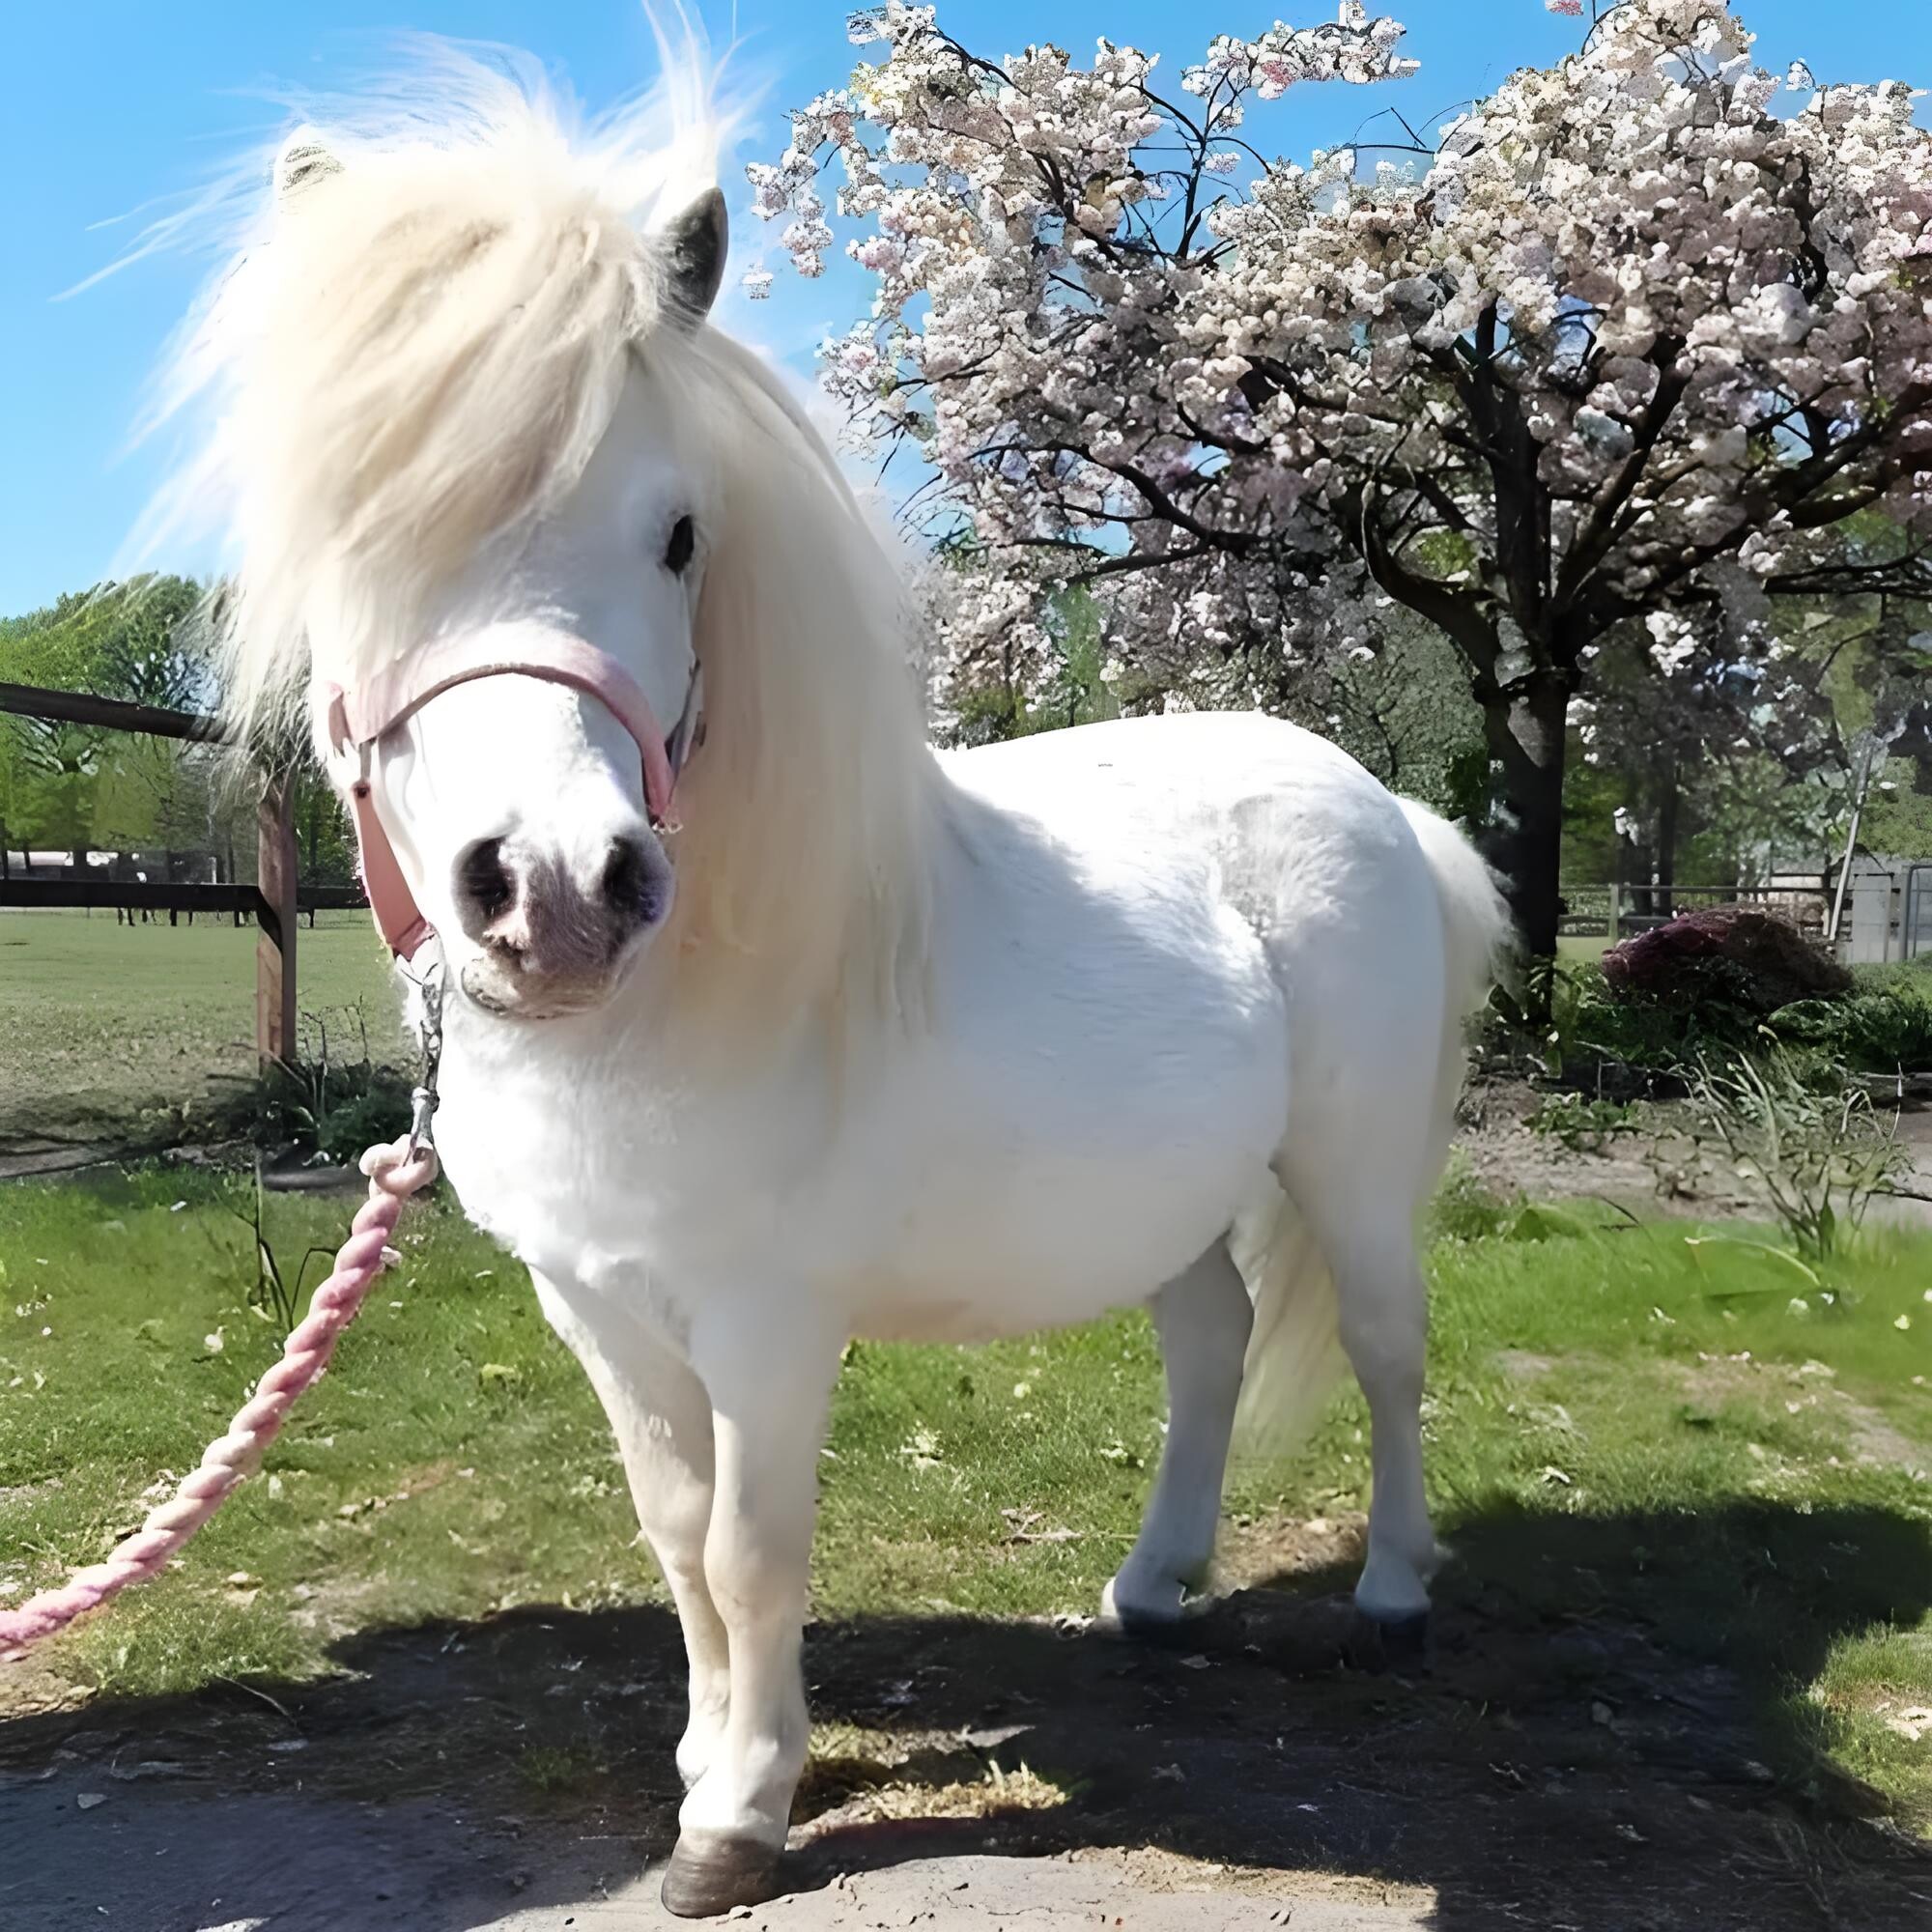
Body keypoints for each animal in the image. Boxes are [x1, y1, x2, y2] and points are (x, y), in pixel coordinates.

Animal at [145, 53, 1508, 1917]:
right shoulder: (600, 1310)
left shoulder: (767, 1323)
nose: (556, 896)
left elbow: (750, 1544)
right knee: (1211, 1345)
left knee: (1384, 1346)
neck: (690, 1006)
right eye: (360, 537)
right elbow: (674, 1537)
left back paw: (1392, 1597)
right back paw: (1152, 1588)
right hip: (1169, 1198)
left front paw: (738, 1816)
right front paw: (707, 1759)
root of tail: (1375, 800)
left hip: (1350, 1173)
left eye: (678, 535)